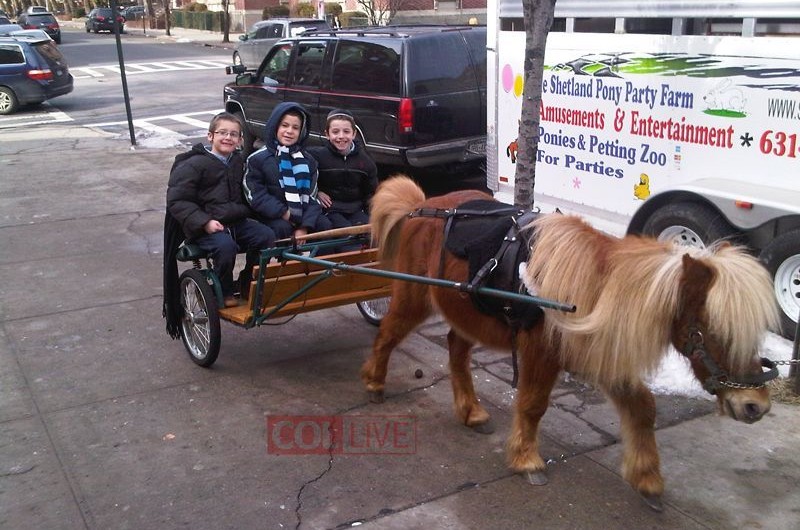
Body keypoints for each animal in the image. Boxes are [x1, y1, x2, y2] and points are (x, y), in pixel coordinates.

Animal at [362, 175, 780, 510]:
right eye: (713, 331)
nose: (755, 406)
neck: (595, 290)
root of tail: (423, 206)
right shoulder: (540, 353)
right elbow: (532, 405)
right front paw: (527, 459)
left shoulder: (604, 351)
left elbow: (642, 408)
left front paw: (646, 479)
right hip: (414, 298)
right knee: (389, 333)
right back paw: (374, 382)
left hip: (465, 311)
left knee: (456, 349)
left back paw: (471, 412)